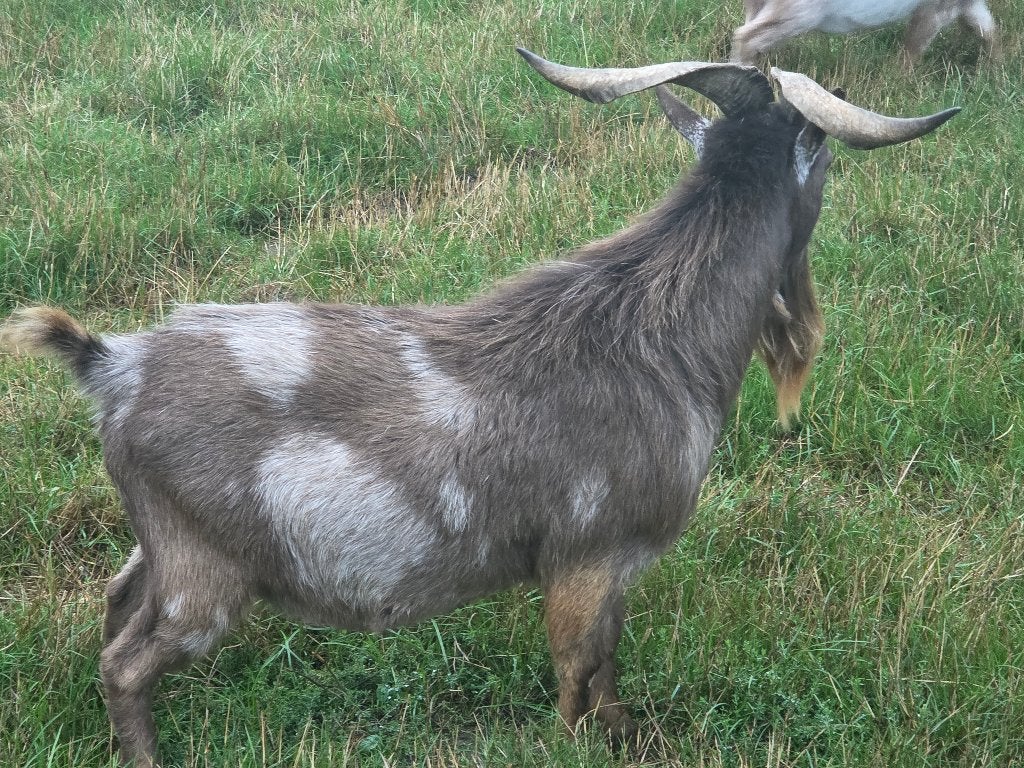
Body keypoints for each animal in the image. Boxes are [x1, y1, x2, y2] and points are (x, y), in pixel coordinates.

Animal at [0, 49, 958, 767]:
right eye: (822, 159)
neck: (659, 335)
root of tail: (112, 366)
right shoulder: (589, 555)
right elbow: (580, 678)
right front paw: (597, 743)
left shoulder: (611, 571)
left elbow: (606, 672)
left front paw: (626, 732)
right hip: (205, 573)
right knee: (126, 663)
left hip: (162, 543)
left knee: (118, 602)